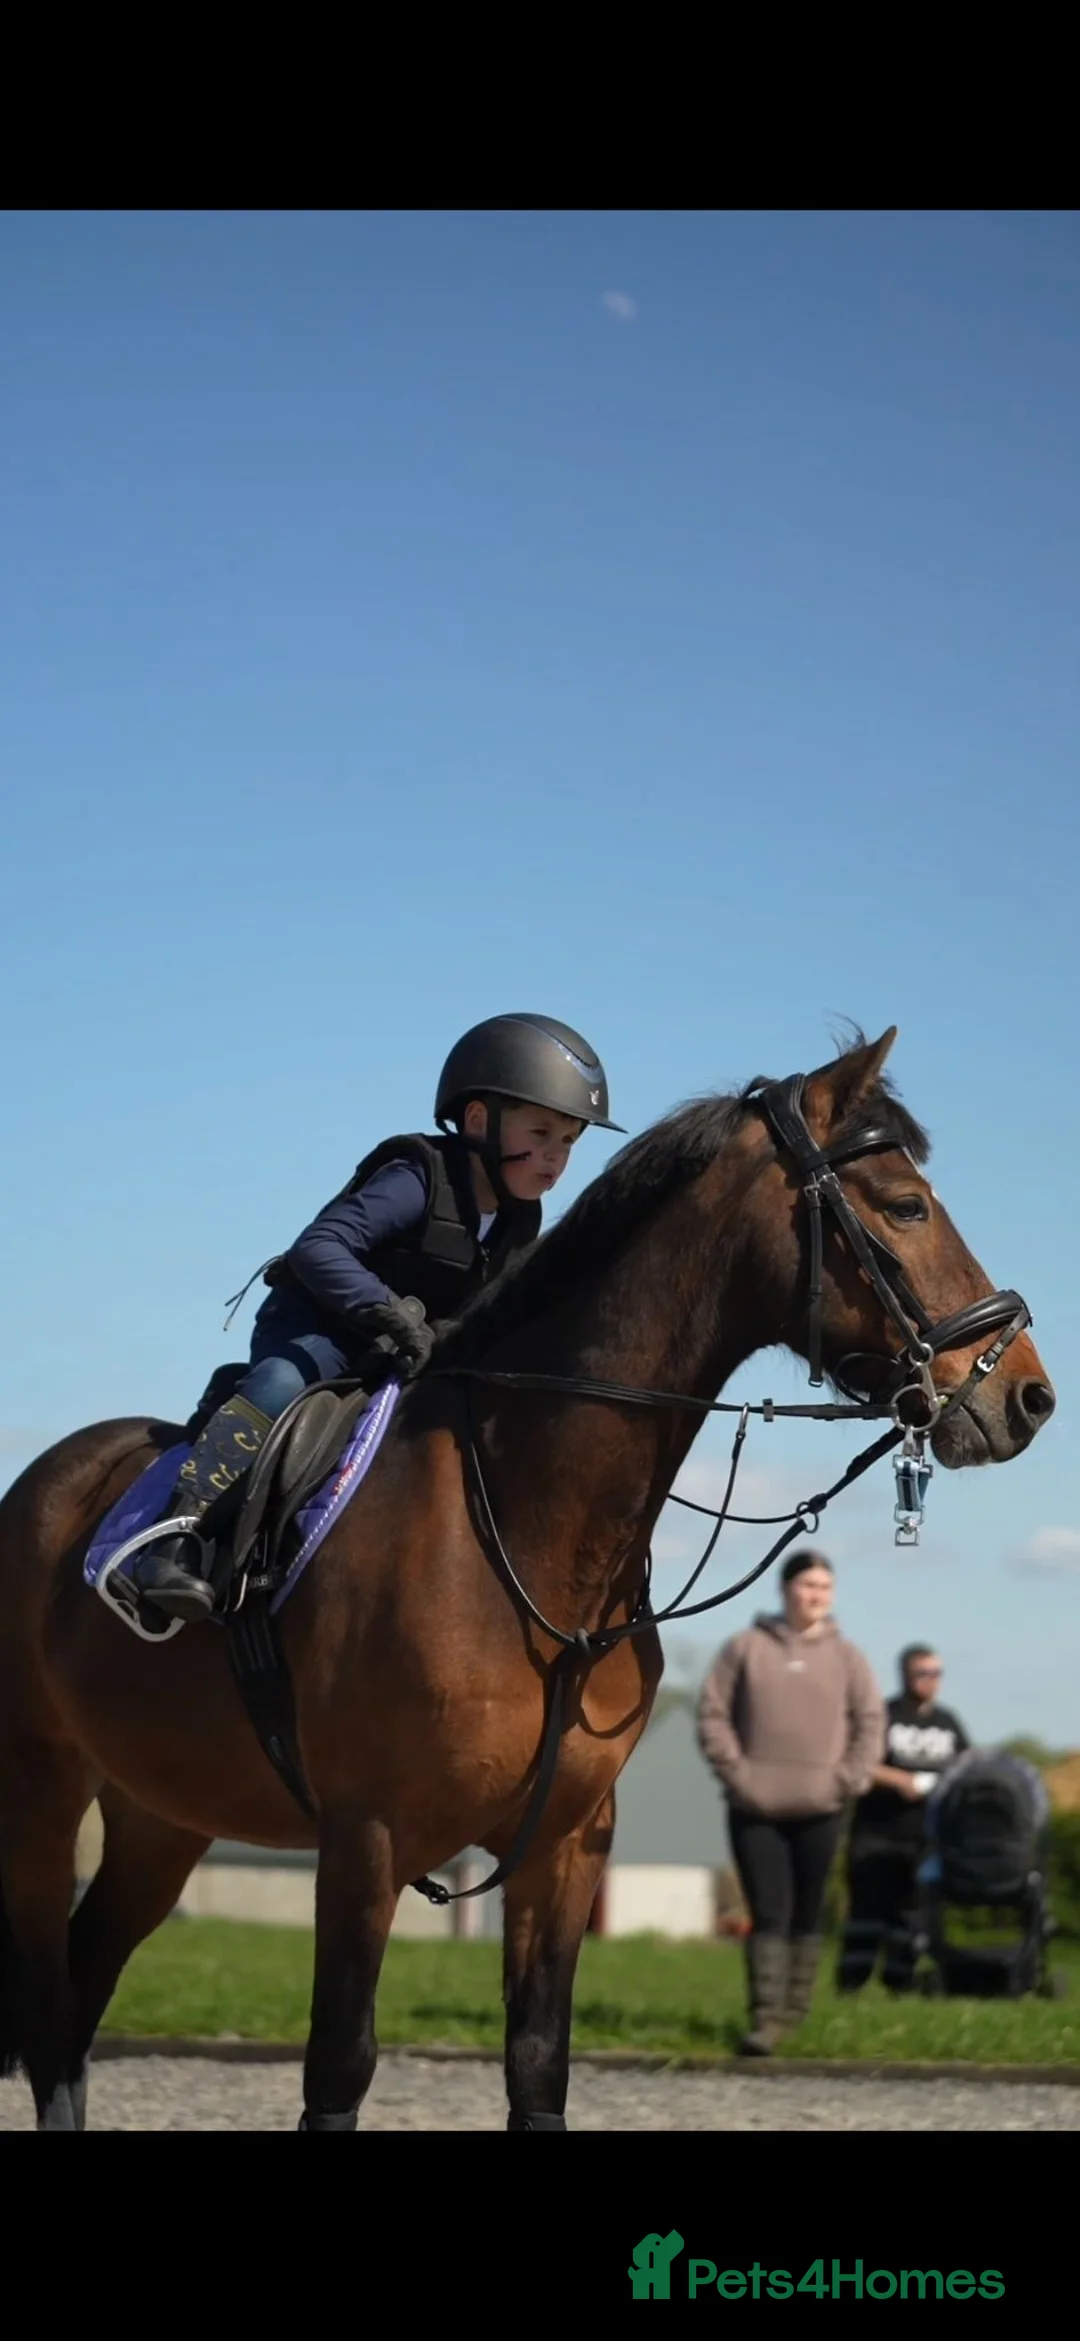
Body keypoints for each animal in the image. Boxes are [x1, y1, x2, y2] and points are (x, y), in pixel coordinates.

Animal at [0, 1027, 1055, 2131]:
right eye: (906, 1205)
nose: (1028, 1396)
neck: (532, 1528)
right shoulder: (367, 1840)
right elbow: (339, 2065)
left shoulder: (566, 1845)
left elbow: (540, 2064)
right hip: (38, 1789)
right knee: (48, 2001)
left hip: (163, 1813)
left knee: (79, 1992)